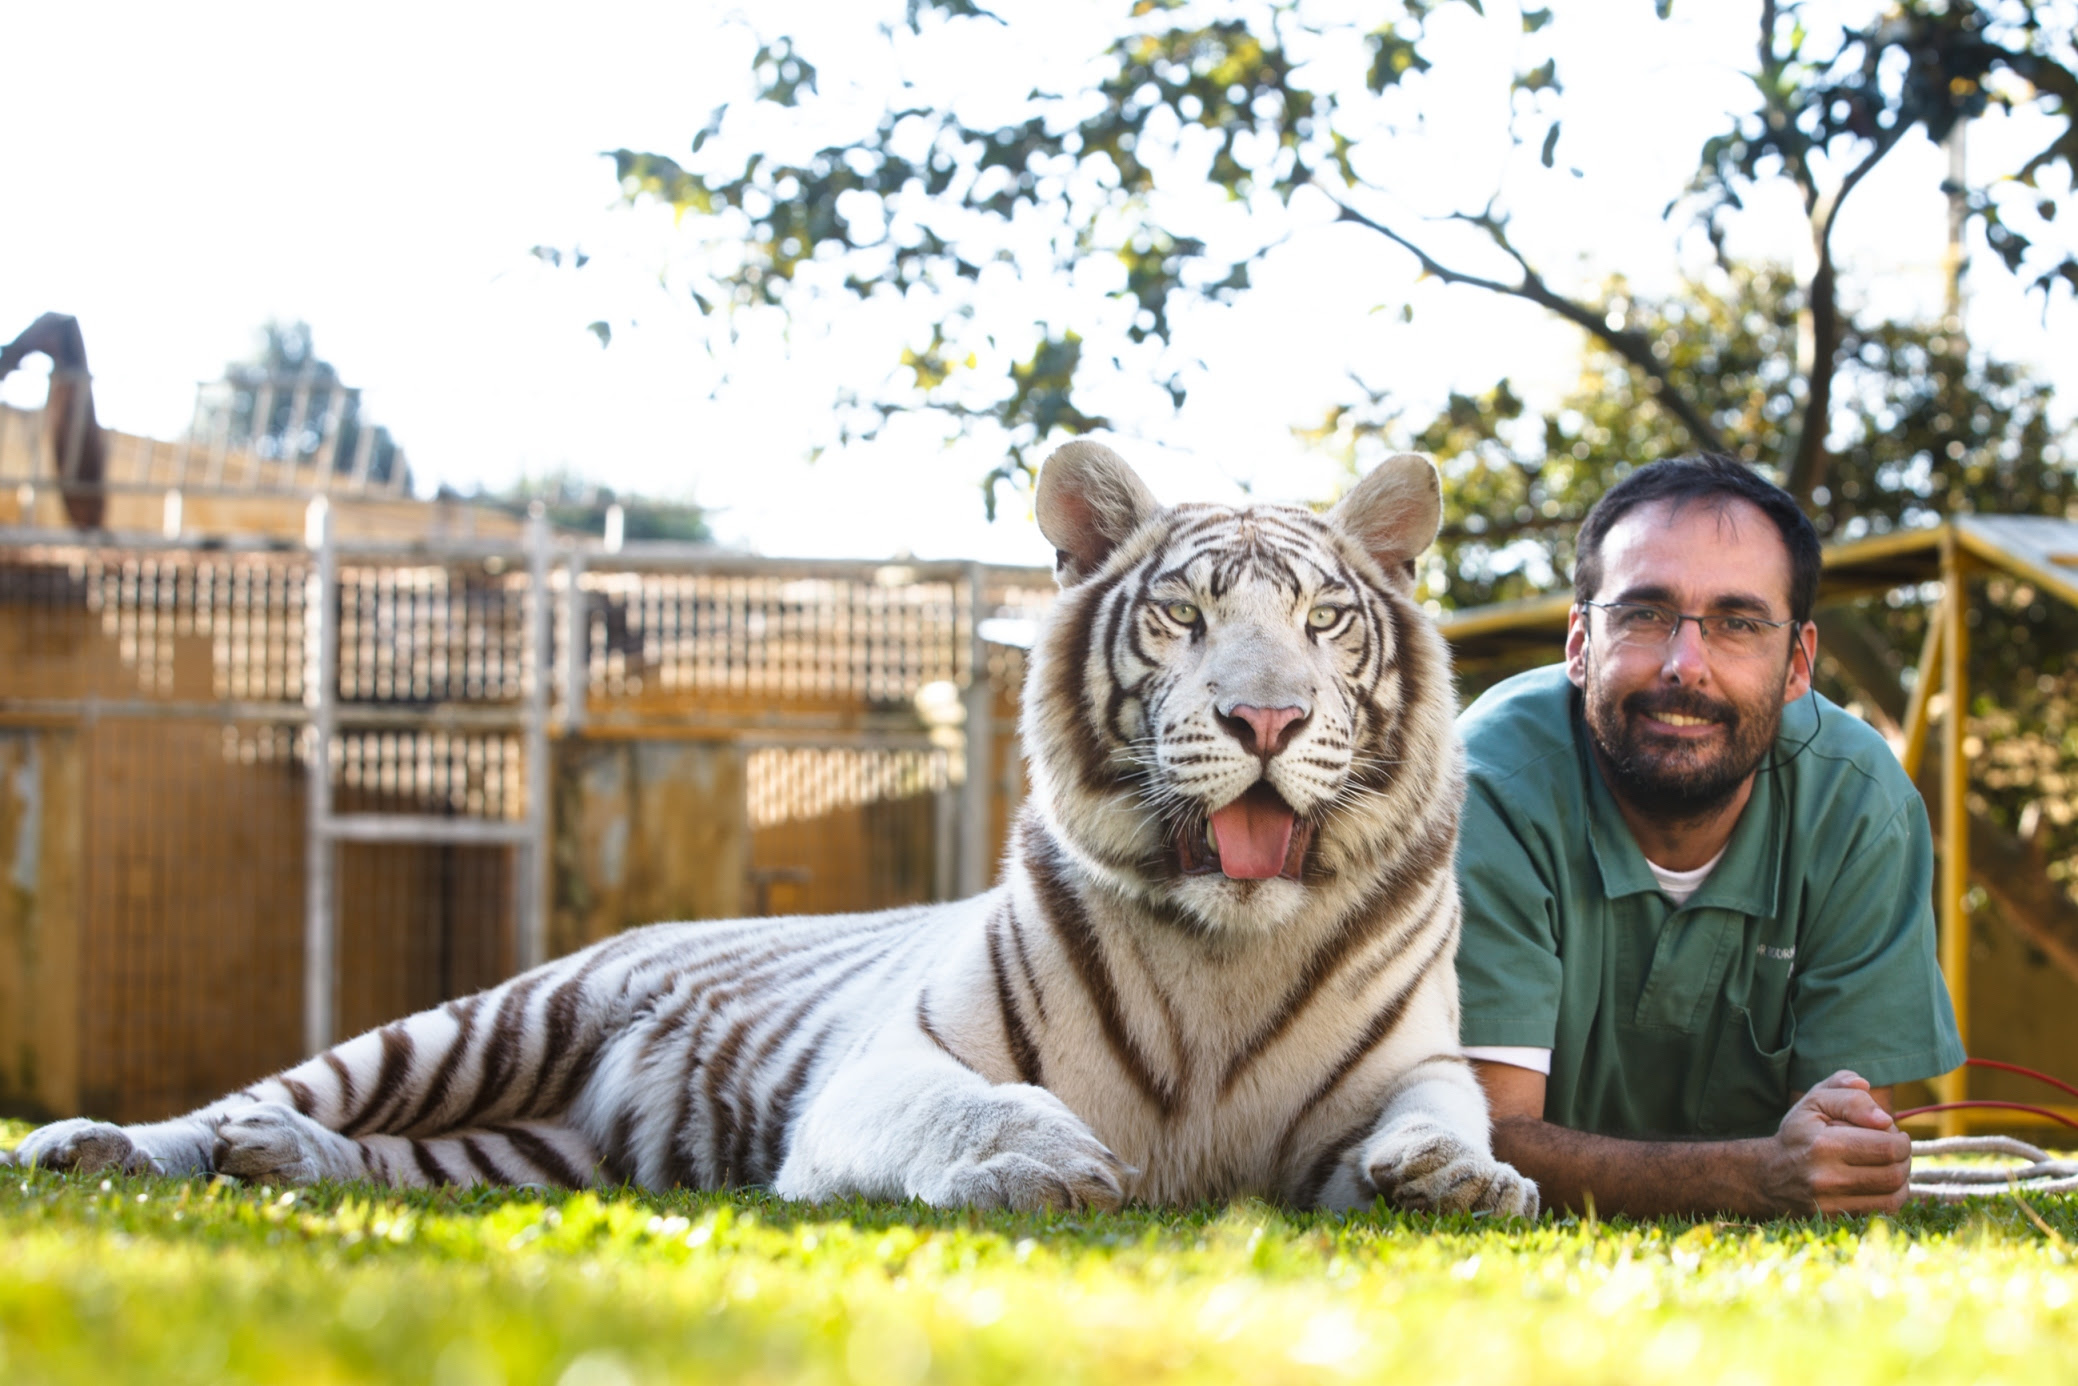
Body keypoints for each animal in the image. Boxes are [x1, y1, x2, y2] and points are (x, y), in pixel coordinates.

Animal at [8, 444, 1537, 1213]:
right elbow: (971, 1107)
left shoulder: (1410, 1057)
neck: (1226, 943)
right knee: (258, 1094)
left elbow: (1447, 1113)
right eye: (1183, 614)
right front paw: (1052, 1163)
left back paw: (284, 1165)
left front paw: (1454, 1176)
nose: (1264, 719)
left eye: (1323, 617)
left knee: (388, 1159)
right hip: (479, 1025)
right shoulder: (888, 1066)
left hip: (534, 1154)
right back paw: (100, 1147)